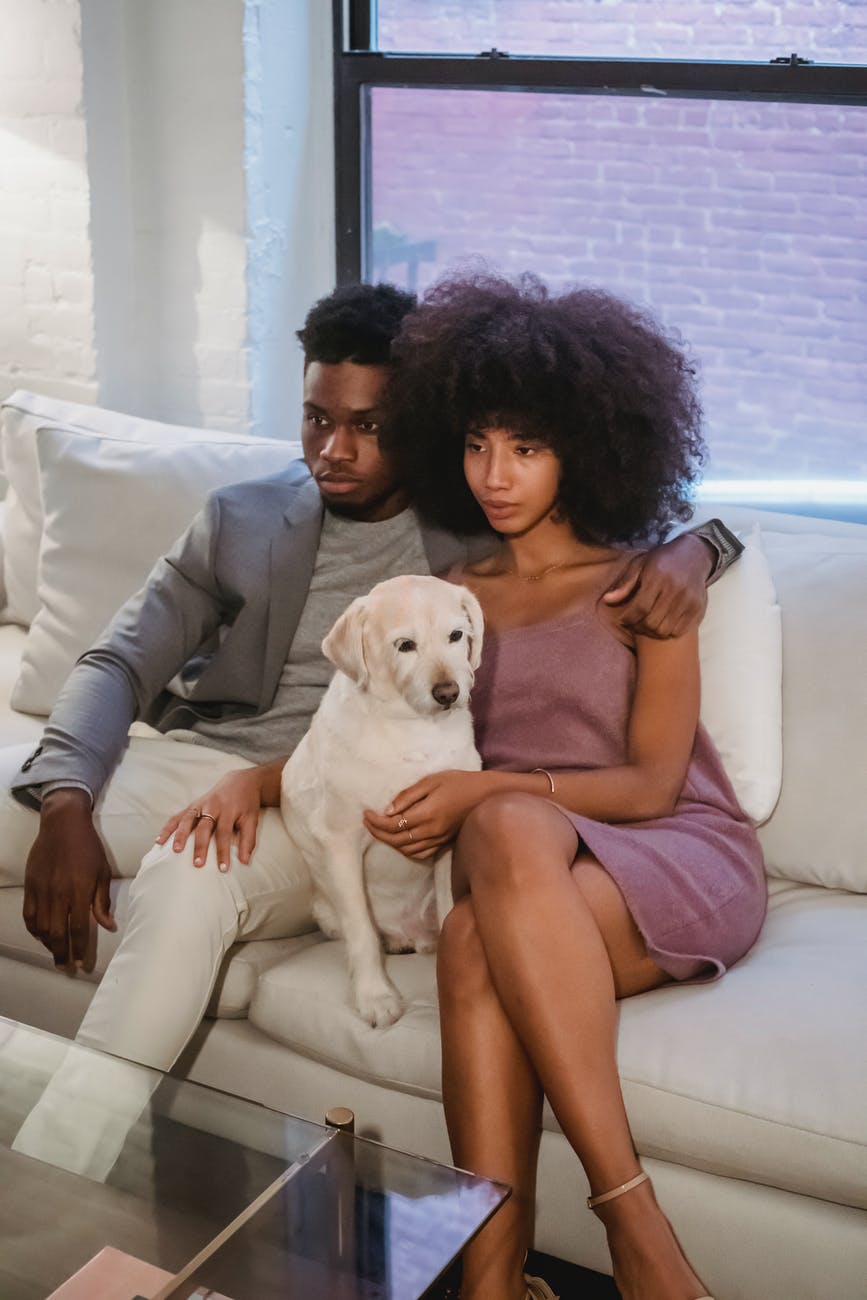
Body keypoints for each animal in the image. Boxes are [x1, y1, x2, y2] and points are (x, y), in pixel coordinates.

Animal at [279, 577, 480, 1024]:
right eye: (405, 645)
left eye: (456, 635)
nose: (448, 692)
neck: (413, 732)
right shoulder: (341, 843)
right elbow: (361, 933)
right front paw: (375, 996)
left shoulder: (446, 839)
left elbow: (449, 911)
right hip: (327, 910)